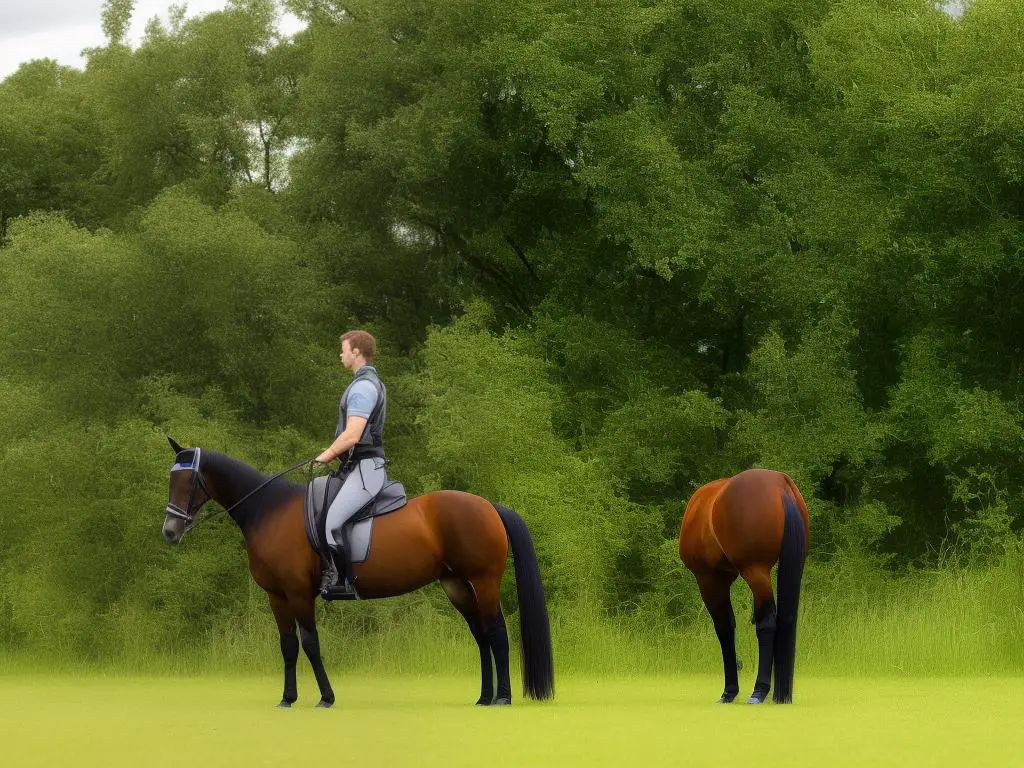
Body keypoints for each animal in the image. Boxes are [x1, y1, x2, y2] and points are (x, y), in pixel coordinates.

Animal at [160, 438, 557, 708]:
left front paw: (326, 697)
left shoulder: (298, 593)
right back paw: (484, 697)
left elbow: (310, 644)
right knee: (481, 636)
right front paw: (287, 698)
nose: (170, 532)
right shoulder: (277, 596)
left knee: (497, 633)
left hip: (483, 582)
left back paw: (502, 698)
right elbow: (288, 646)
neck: (268, 512)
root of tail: (489, 506)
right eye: (171, 481)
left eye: (187, 482)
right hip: (457, 586)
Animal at [675, 468, 811, 704]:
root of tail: (779, 484)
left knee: (766, 623)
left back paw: (759, 690)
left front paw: (729, 691)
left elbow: (724, 628)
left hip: (755, 571)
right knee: (785, 619)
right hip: (793, 565)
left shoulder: (710, 579)